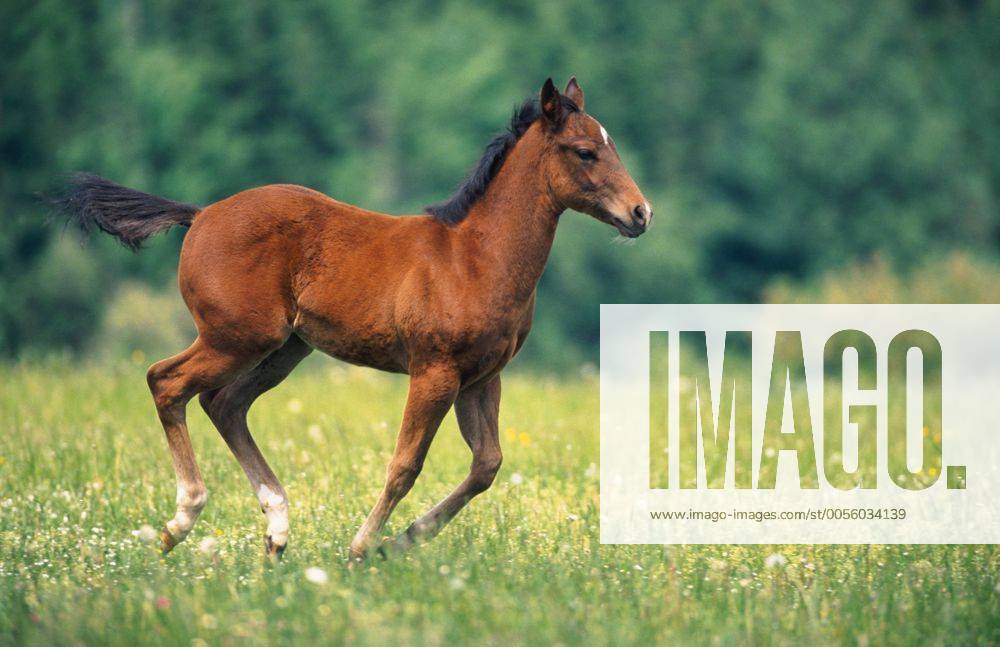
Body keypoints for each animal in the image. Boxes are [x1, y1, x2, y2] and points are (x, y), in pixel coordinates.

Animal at [55, 77, 651, 560]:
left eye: (613, 146)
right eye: (584, 152)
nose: (641, 213)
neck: (476, 257)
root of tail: (200, 215)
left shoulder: (482, 377)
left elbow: (487, 465)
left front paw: (406, 539)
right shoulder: (435, 371)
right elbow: (405, 463)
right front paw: (364, 547)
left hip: (285, 348)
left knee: (224, 403)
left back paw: (277, 530)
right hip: (238, 336)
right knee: (167, 381)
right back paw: (182, 521)